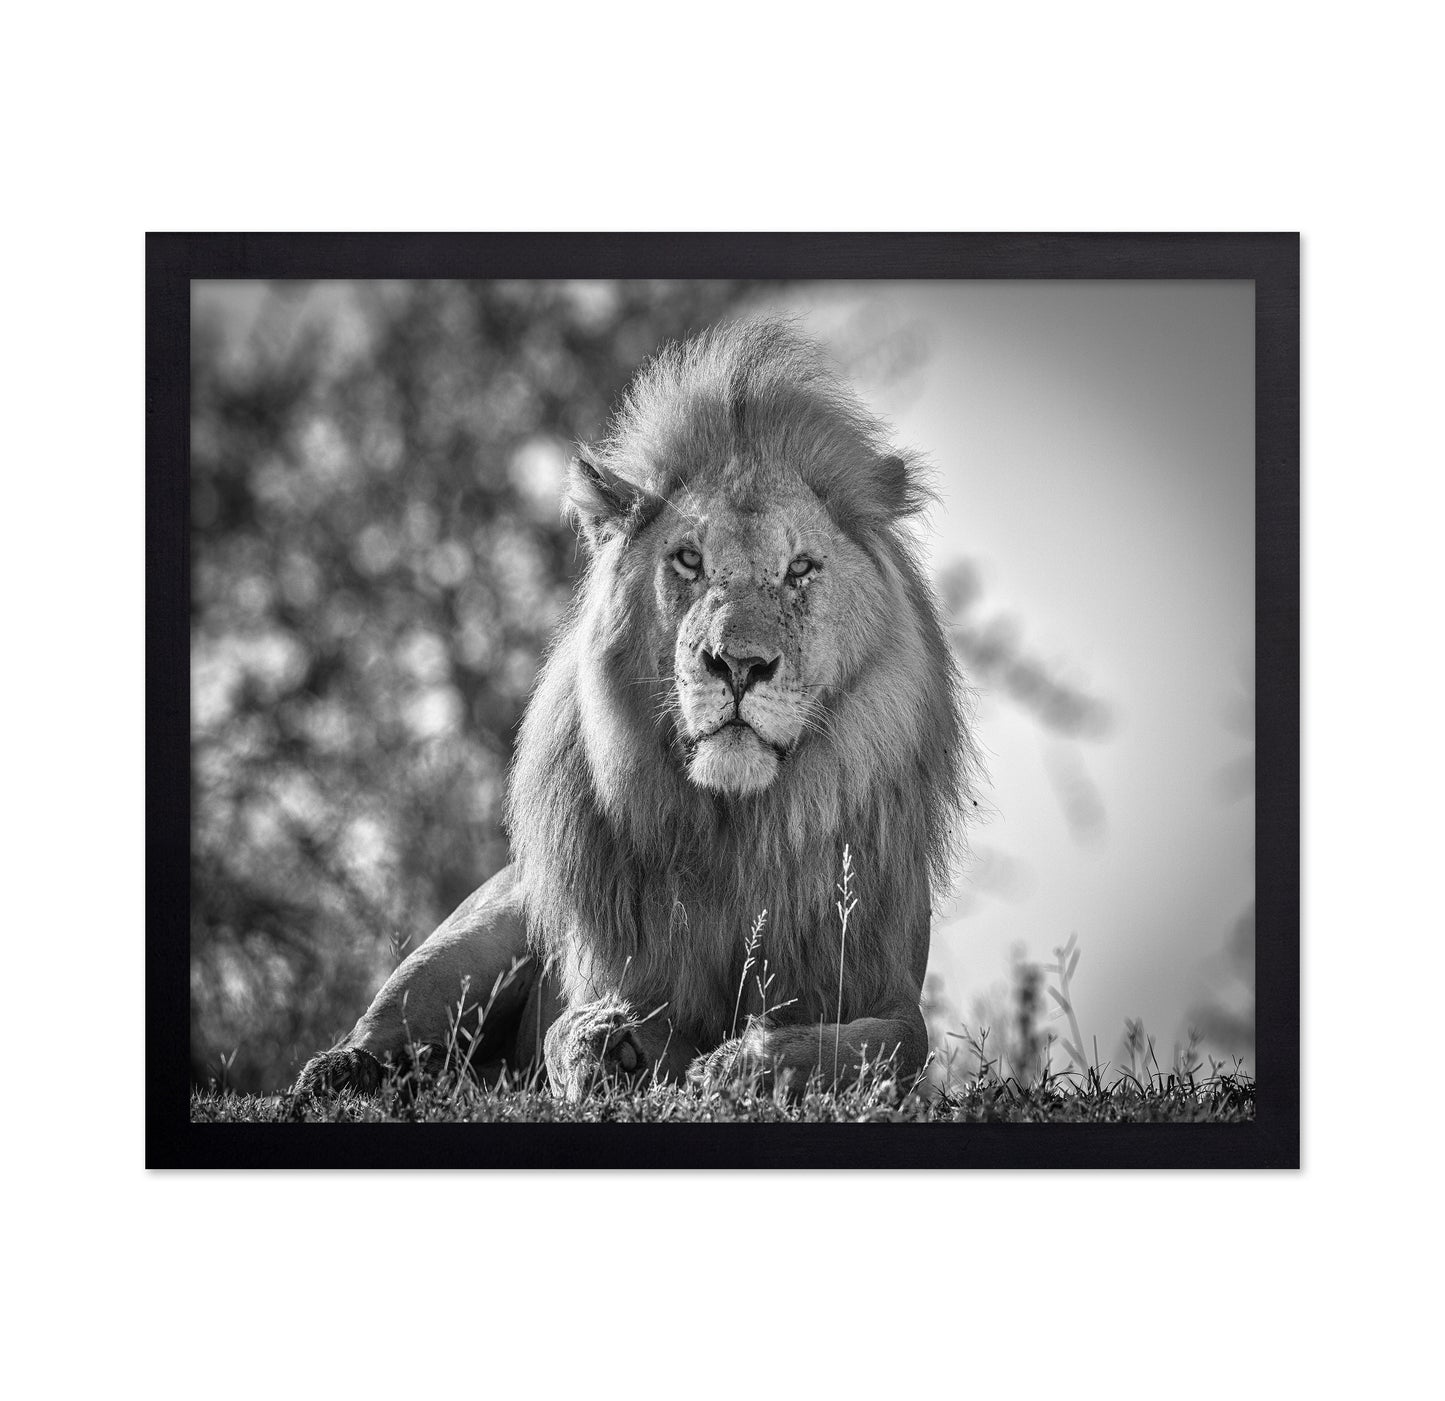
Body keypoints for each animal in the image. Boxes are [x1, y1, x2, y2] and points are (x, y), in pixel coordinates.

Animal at [293, 317, 973, 1101]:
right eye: (688, 561)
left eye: (800, 568)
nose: (738, 664)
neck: (740, 830)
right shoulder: (609, 971)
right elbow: (568, 1028)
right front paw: (611, 1045)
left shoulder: (887, 987)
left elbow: (884, 1046)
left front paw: (744, 1061)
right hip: (479, 933)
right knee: (390, 1030)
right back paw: (338, 1072)